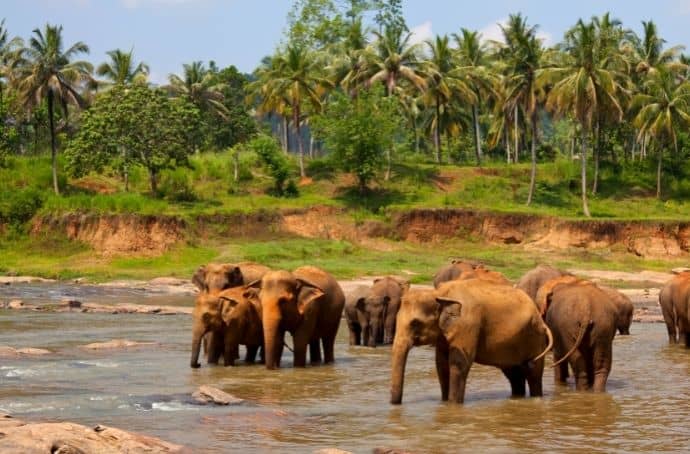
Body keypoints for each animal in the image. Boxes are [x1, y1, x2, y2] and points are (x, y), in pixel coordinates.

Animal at [390, 280, 552, 404]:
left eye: (415, 323)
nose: (396, 405)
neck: (441, 293)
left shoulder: (467, 325)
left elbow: (458, 364)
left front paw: (453, 406)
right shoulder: (444, 334)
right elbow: (441, 365)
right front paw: (444, 404)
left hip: (535, 337)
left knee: (533, 372)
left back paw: (536, 398)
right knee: (514, 374)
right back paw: (516, 398)